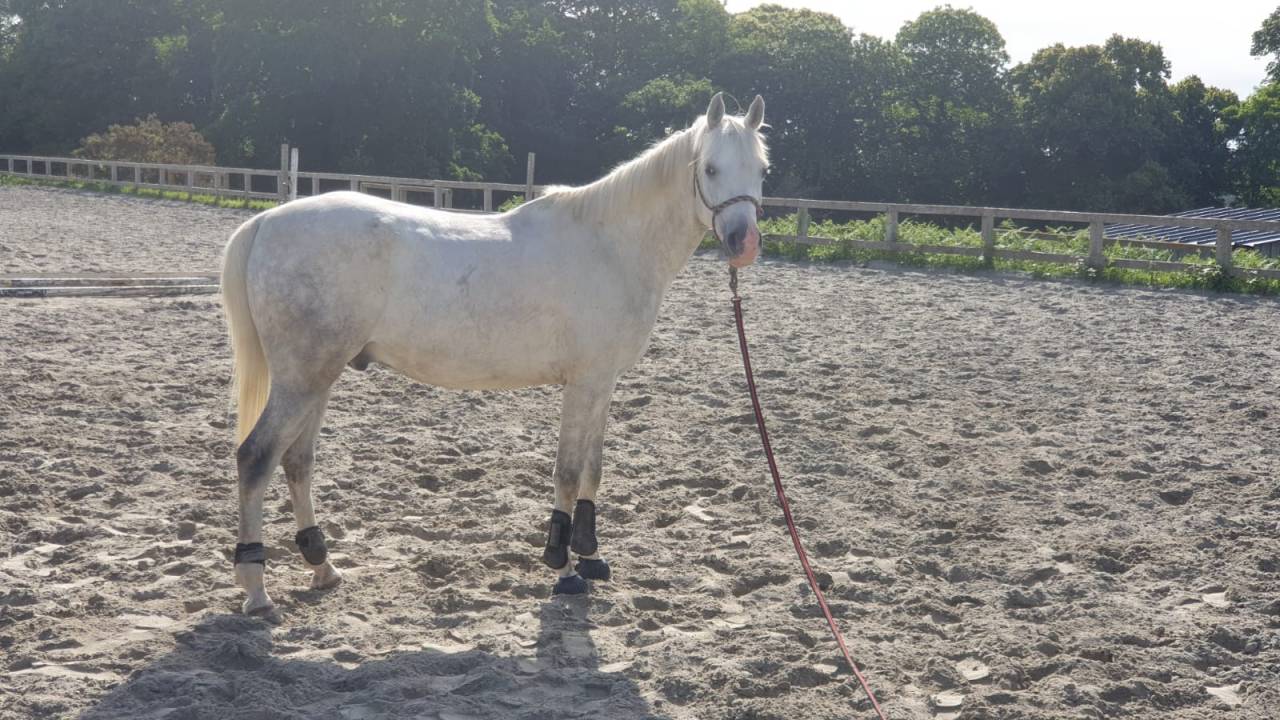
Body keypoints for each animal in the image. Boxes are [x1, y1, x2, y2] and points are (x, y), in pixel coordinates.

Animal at [221, 93, 769, 615]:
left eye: (762, 170)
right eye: (710, 168)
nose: (743, 243)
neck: (610, 245)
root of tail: (266, 221)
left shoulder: (603, 381)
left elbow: (593, 468)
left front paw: (591, 557)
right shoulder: (584, 382)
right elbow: (568, 471)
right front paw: (562, 567)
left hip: (319, 376)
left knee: (297, 462)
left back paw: (323, 567)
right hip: (301, 379)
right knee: (256, 457)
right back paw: (256, 588)